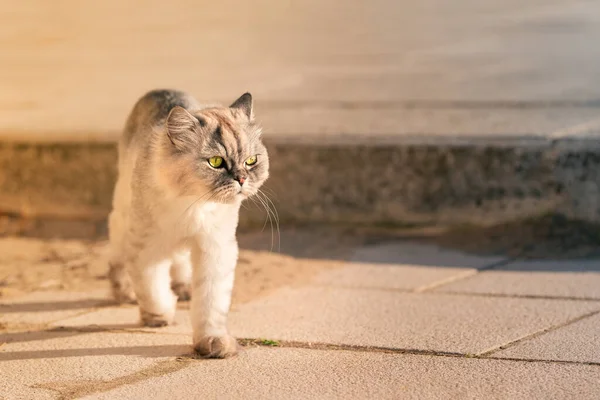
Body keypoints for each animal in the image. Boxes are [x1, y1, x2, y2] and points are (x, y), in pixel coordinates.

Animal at [106, 89, 268, 358]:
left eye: (251, 161)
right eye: (216, 162)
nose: (242, 179)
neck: (193, 204)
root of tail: (161, 90)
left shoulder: (214, 249)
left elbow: (210, 305)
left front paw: (212, 343)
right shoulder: (146, 250)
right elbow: (153, 290)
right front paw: (159, 317)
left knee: (180, 264)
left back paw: (183, 290)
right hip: (122, 219)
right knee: (119, 264)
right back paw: (125, 293)